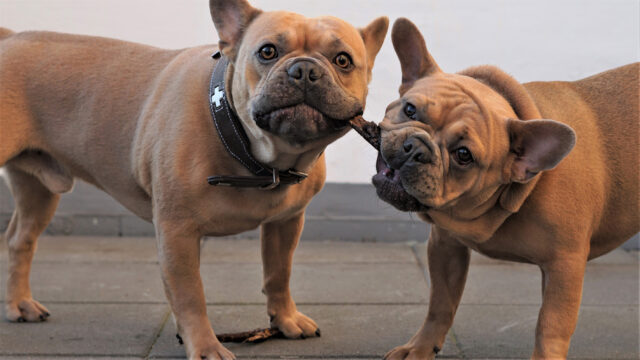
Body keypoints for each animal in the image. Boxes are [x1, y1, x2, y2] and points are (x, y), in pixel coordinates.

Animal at [0, 1, 390, 358]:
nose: (304, 69)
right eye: (267, 52)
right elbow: (190, 294)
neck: (257, 155)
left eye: (342, 60)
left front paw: (285, 320)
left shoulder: (286, 222)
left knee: (21, 239)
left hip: (39, 191)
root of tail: (10, 39)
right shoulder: (178, 232)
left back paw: (21, 304)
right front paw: (205, 346)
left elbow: (278, 274)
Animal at [372, 19, 636, 360]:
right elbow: (441, 302)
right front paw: (420, 348)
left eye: (463, 155)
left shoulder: (565, 266)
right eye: (409, 110)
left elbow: (551, 326)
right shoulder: (445, 245)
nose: (416, 148)